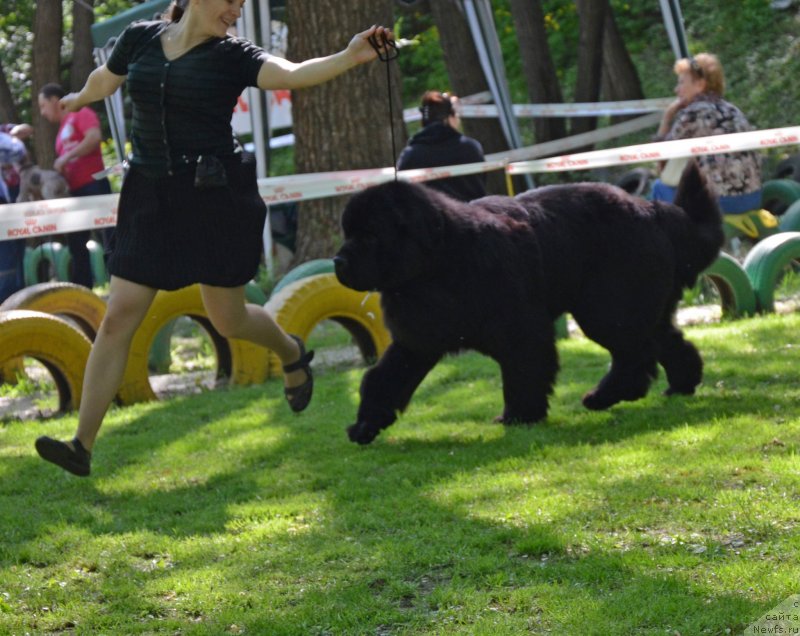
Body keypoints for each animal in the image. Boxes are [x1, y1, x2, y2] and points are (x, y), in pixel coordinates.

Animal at [332, 161, 724, 444]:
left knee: (635, 354)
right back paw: (680, 384)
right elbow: (384, 378)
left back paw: (605, 395)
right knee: (665, 342)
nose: (338, 261)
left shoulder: (521, 331)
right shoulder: (416, 341)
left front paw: (519, 416)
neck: (438, 263)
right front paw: (365, 424)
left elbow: (524, 370)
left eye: (370, 235)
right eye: (348, 233)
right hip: (633, 307)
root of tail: (652, 211)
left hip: (607, 309)